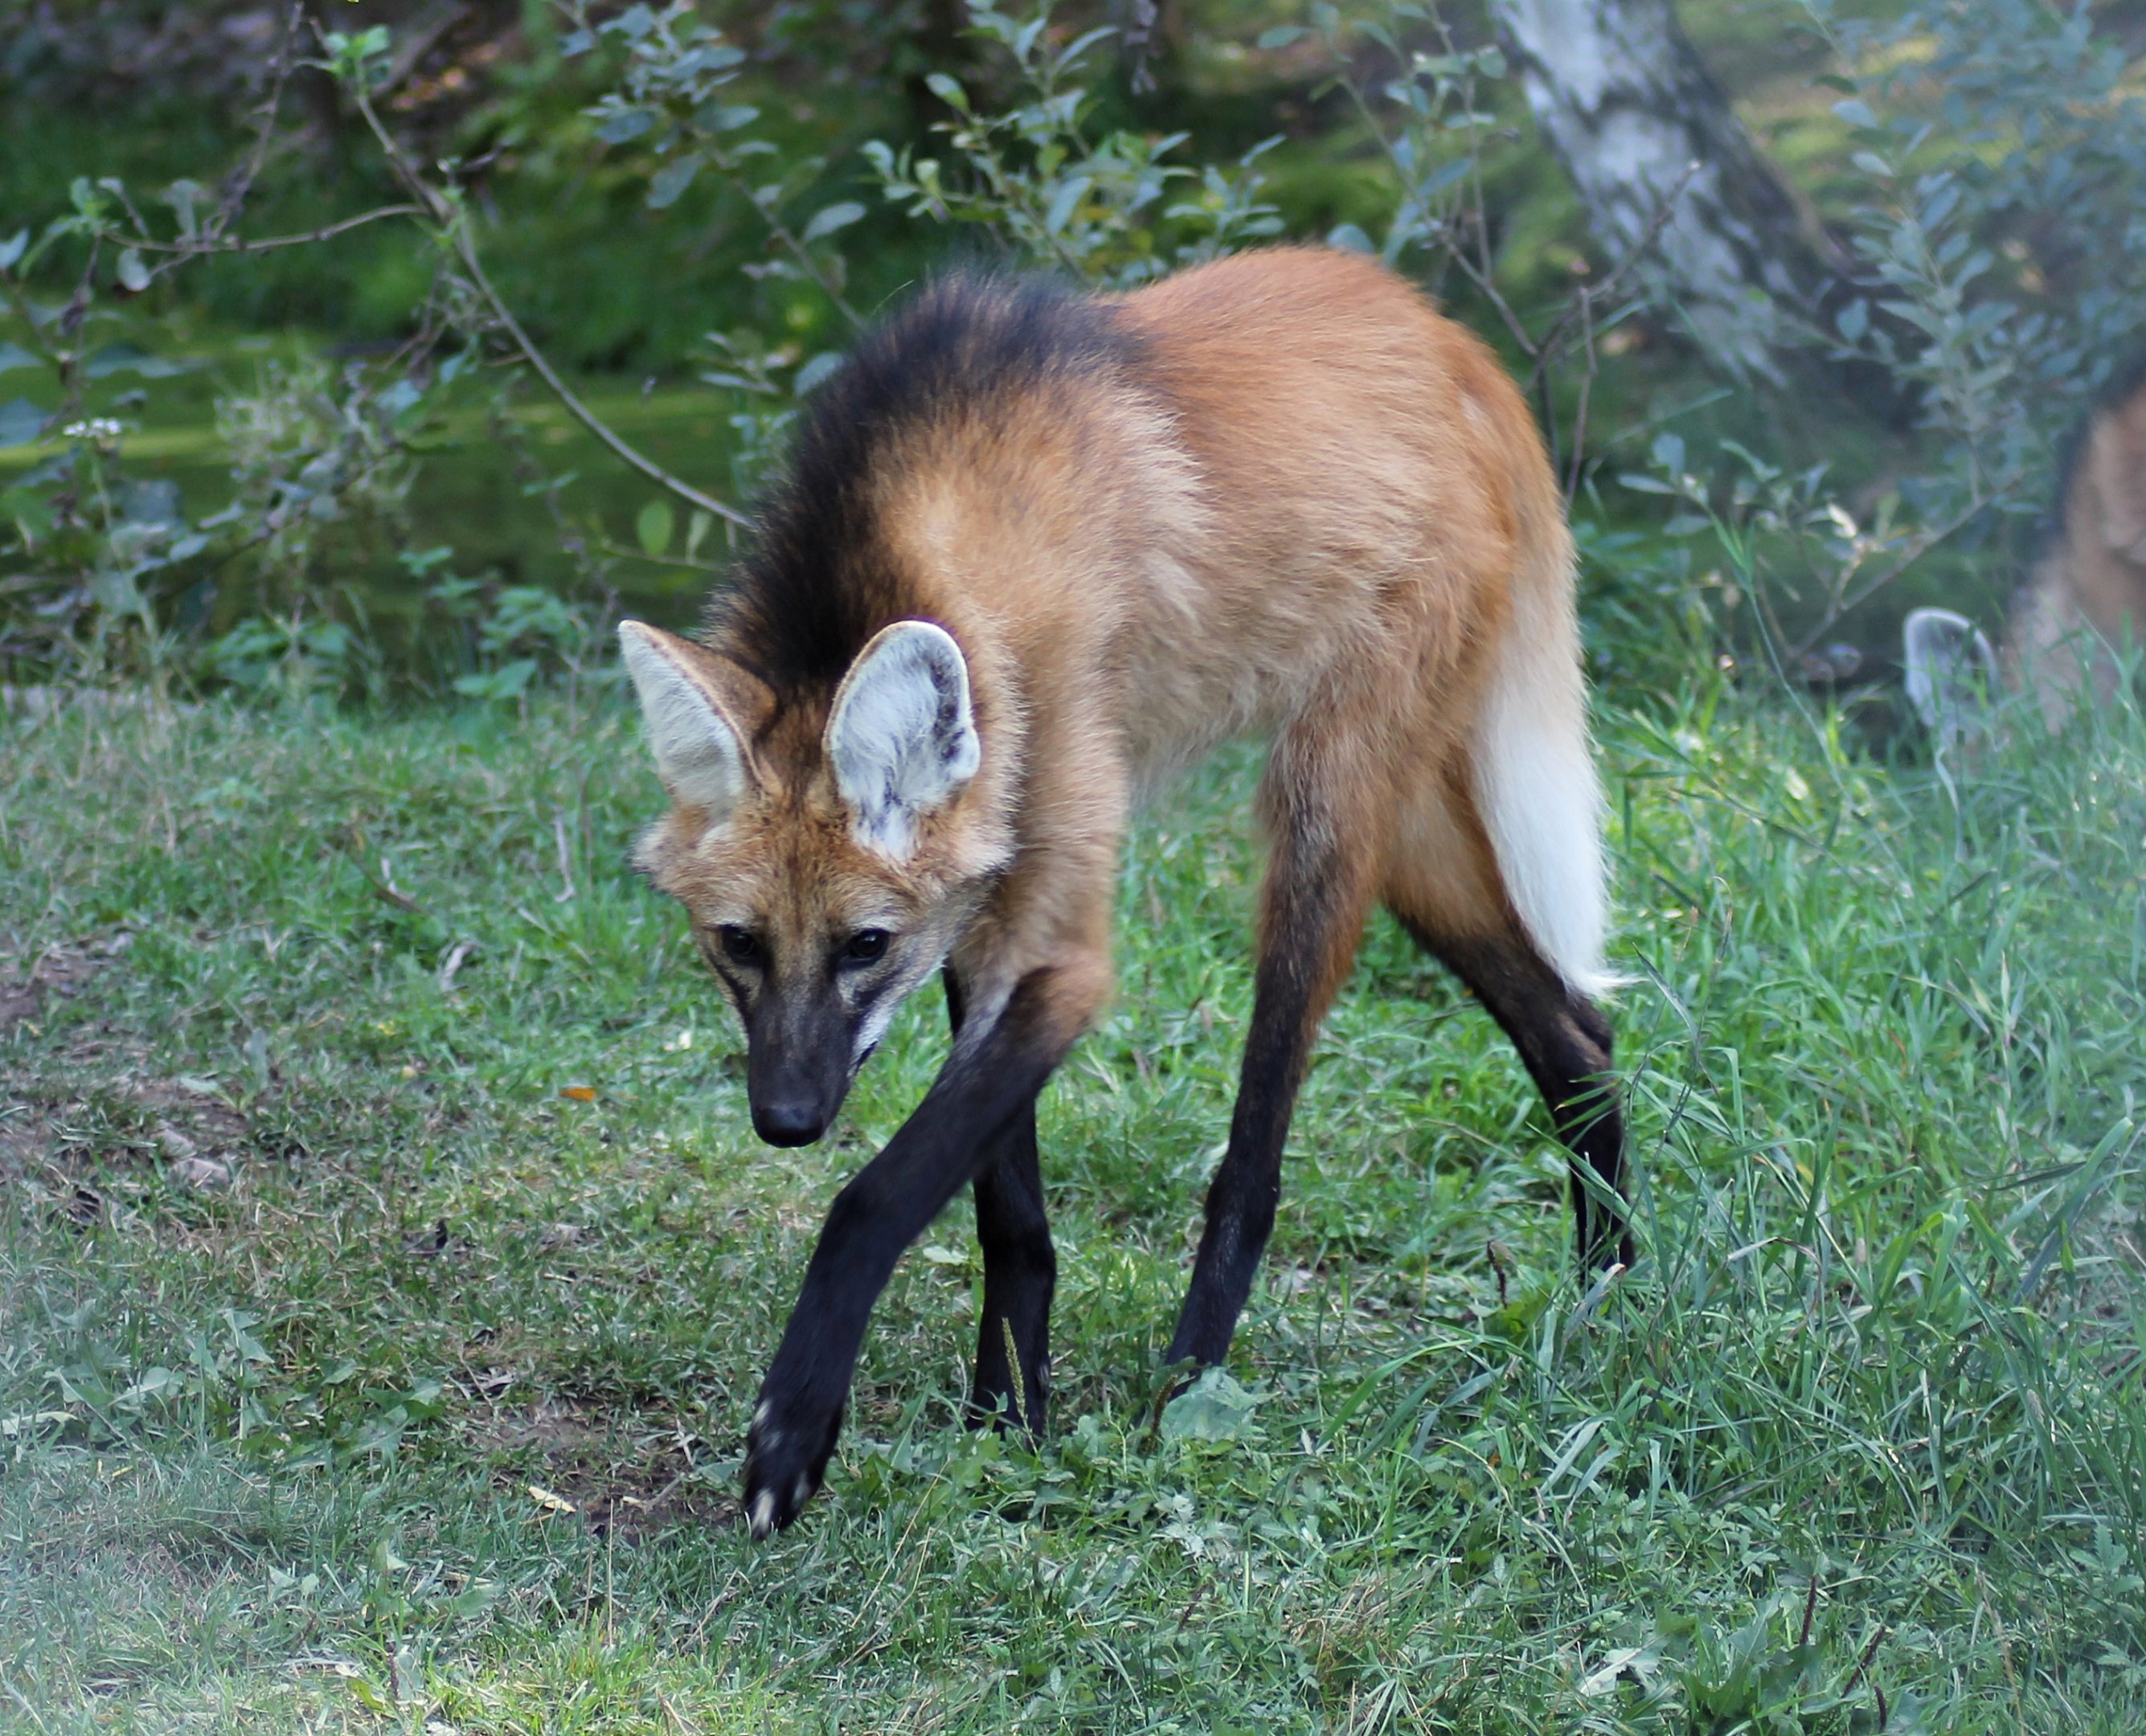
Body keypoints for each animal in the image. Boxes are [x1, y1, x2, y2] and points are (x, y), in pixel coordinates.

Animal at [618, 247, 1628, 1536]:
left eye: (863, 946)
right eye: (737, 944)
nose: (786, 1121)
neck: (941, 535)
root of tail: (1451, 340)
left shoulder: (1059, 947)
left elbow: (874, 1200)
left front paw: (795, 1431)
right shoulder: (986, 911)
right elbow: (1006, 1210)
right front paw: (1006, 1420)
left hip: (1324, 809)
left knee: (1258, 1158)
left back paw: (1188, 1385)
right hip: (1408, 835)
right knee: (1577, 1028)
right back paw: (1607, 1294)